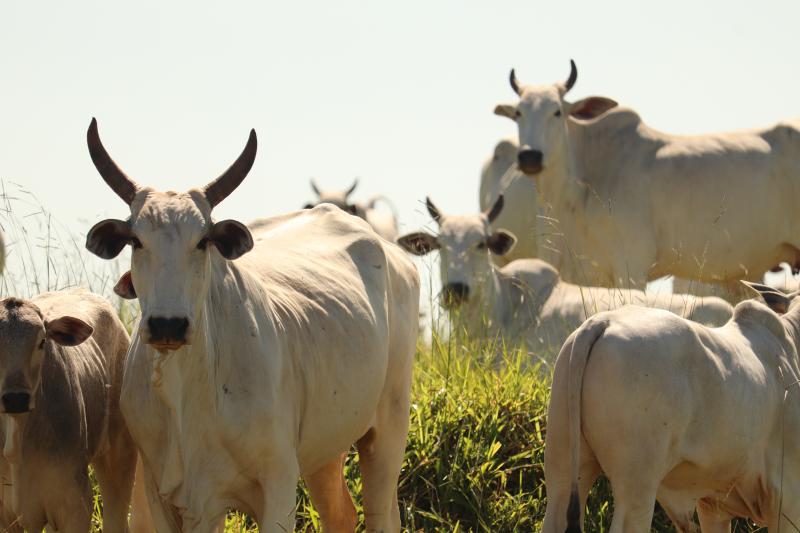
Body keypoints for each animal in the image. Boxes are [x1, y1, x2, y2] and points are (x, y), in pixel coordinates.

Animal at [83, 120, 418, 532]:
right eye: (135, 240)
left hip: (388, 428)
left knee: (380, 511)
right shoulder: (163, 493)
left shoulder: (278, 482)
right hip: (327, 446)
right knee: (341, 514)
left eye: (203, 241)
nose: (167, 325)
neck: (187, 393)